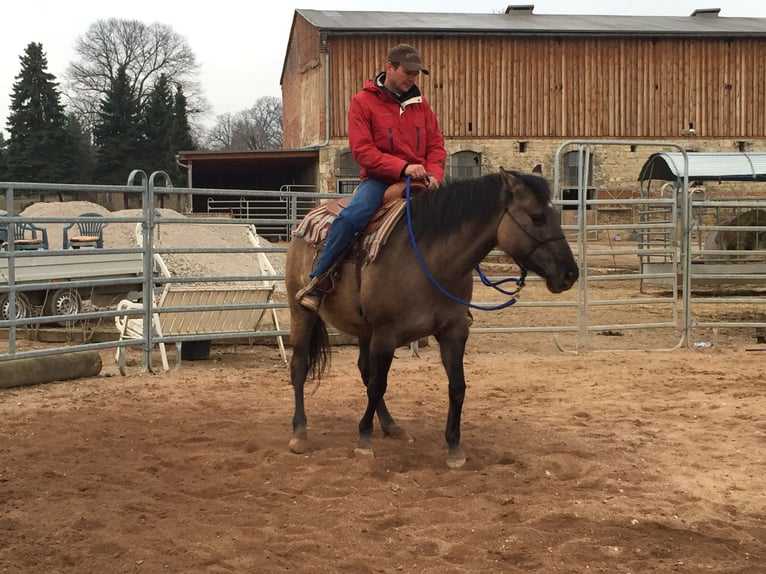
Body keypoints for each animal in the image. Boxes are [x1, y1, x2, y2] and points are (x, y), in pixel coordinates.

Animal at [284, 168, 579, 467]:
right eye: (537, 217)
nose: (570, 273)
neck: (430, 261)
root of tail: (307, 220)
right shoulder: (386, 336)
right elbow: (379, 385)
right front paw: (364, 440)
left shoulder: (453, 332)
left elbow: (457, 386)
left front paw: (454, 448)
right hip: (302, 311)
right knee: (300, 366)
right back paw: (299, 432)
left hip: (364, 329)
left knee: (364, 370)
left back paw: (391, 426)